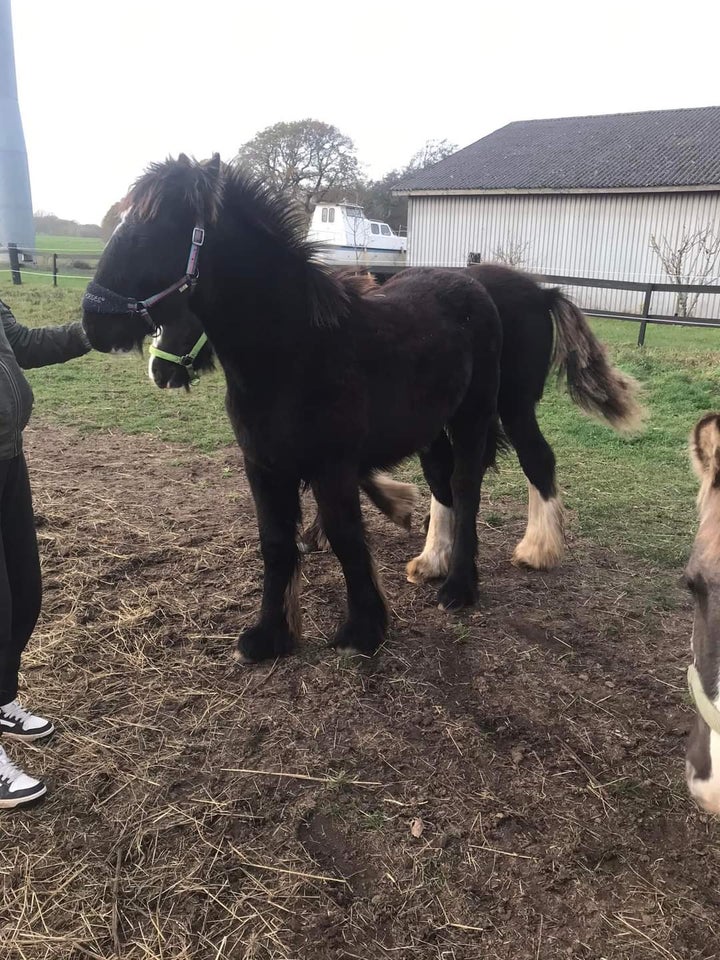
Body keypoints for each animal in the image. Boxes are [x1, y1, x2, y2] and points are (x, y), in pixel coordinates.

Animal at [83, 156, 500, 660]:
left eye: (152, 230)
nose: (93, 323)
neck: (293, 353)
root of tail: (471, 283)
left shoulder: (332, 468)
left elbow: (346, 539)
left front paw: (363, 630)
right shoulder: (263, 466)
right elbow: (276, 543)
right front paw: (270, 634)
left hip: (472, 417)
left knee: (465, 486)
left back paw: (459, 586)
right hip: (430, 428)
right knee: (443, 483)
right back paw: (436, 564)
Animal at [149, 260, 644, 576]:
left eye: (191, 313)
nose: (158, 370)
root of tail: (541, 292)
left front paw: (388, 509)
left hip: (512, 404)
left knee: (535, 459)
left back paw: (537, 549)